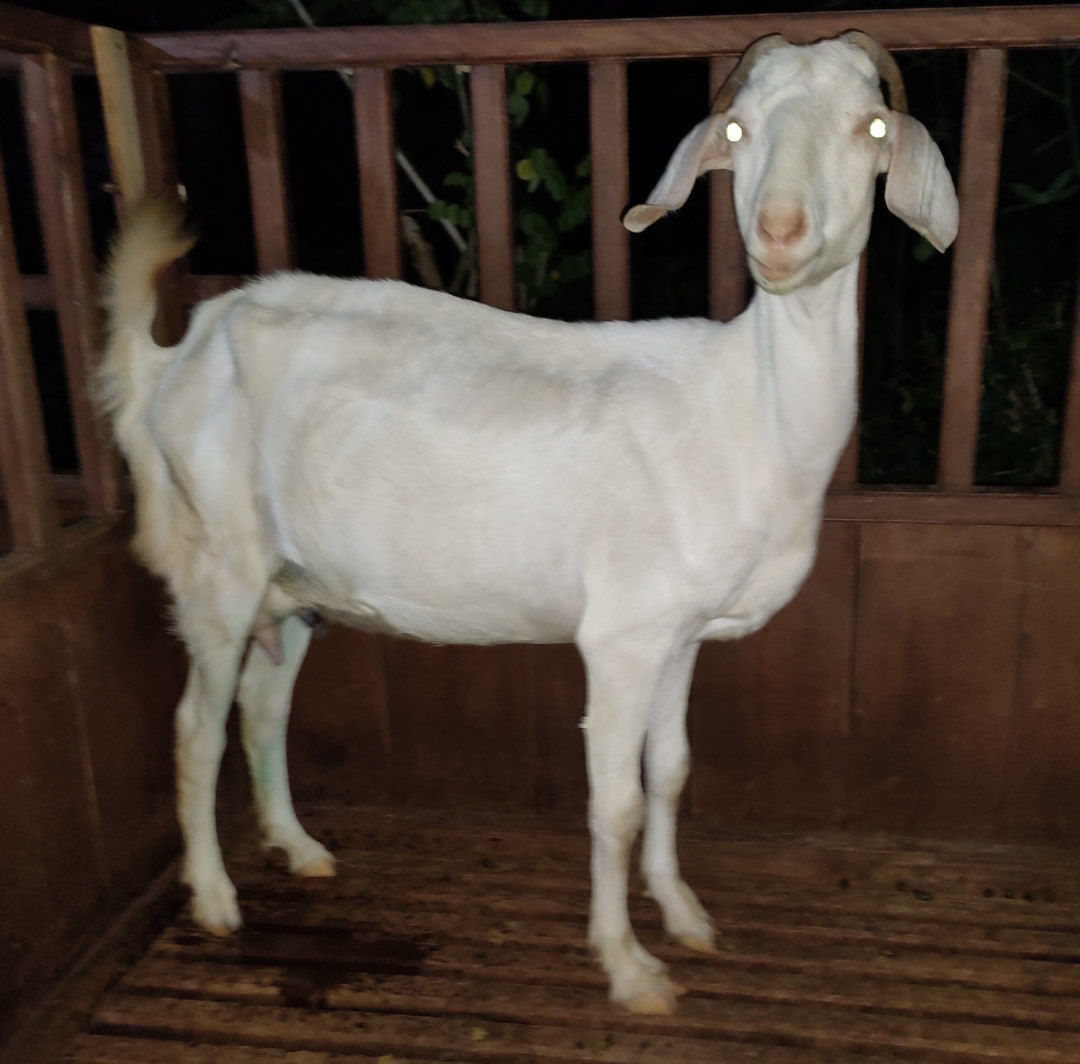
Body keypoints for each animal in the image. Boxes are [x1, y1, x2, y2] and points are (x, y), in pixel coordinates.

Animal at [98, 30, 957, 1016]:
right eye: (738, 128)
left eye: (872, 126)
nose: (780, 233)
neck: (747, 413)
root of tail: (180, 351)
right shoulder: (620, 636)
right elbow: (615, 804)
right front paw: (628, 967)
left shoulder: (679, 634)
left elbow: (670, 774)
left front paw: (685, 916)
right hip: (221, 561)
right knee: (195, 724)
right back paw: (213, 897)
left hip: (296, 584)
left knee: (261, 704)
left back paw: (300, 847)